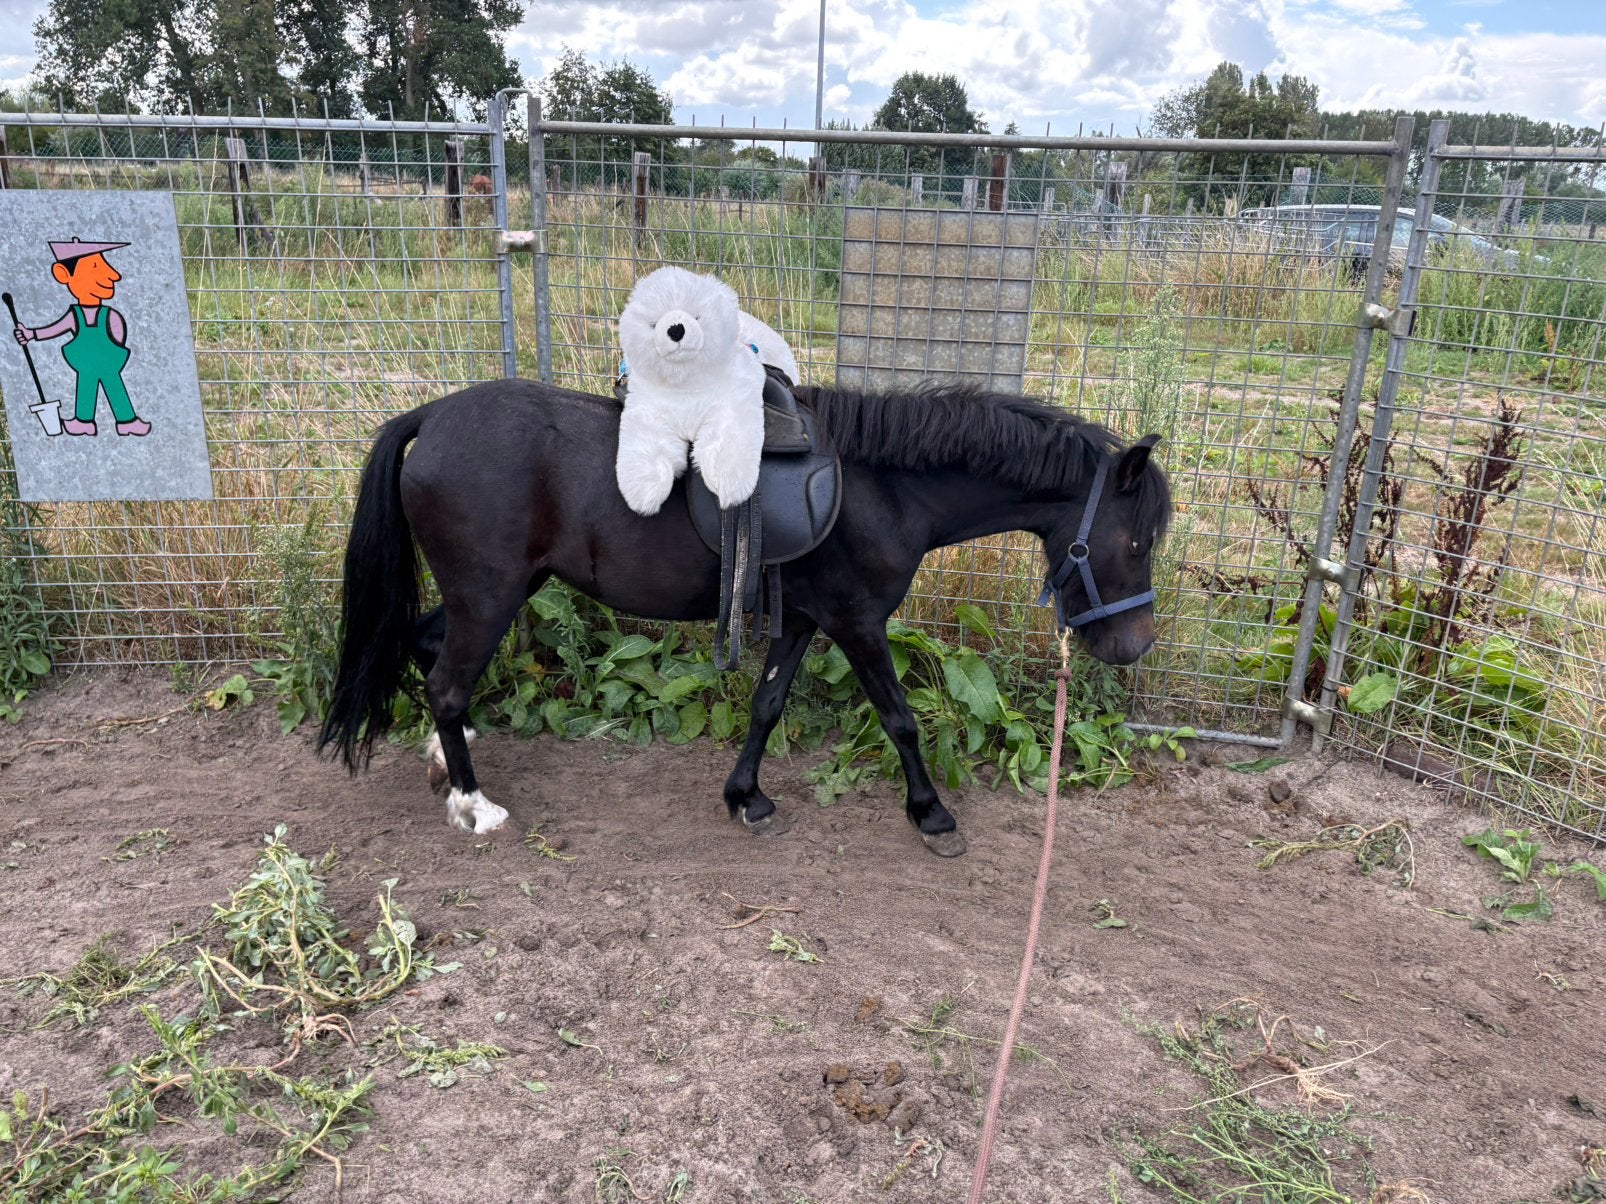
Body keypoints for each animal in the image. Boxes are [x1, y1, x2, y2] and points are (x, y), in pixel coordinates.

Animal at [318, 379, 1172, 857]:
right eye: (1137, 539)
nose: (1133, 646)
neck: (885, 487)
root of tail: (432, 417)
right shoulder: (857, 622)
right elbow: (900, 719)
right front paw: (931, 814)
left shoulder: (803, 620)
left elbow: (766, 704)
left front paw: (745, 797)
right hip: (490, 595)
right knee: (447, 683)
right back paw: (474, 805)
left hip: (495, 592)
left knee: (427, 651)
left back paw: (446, 758)